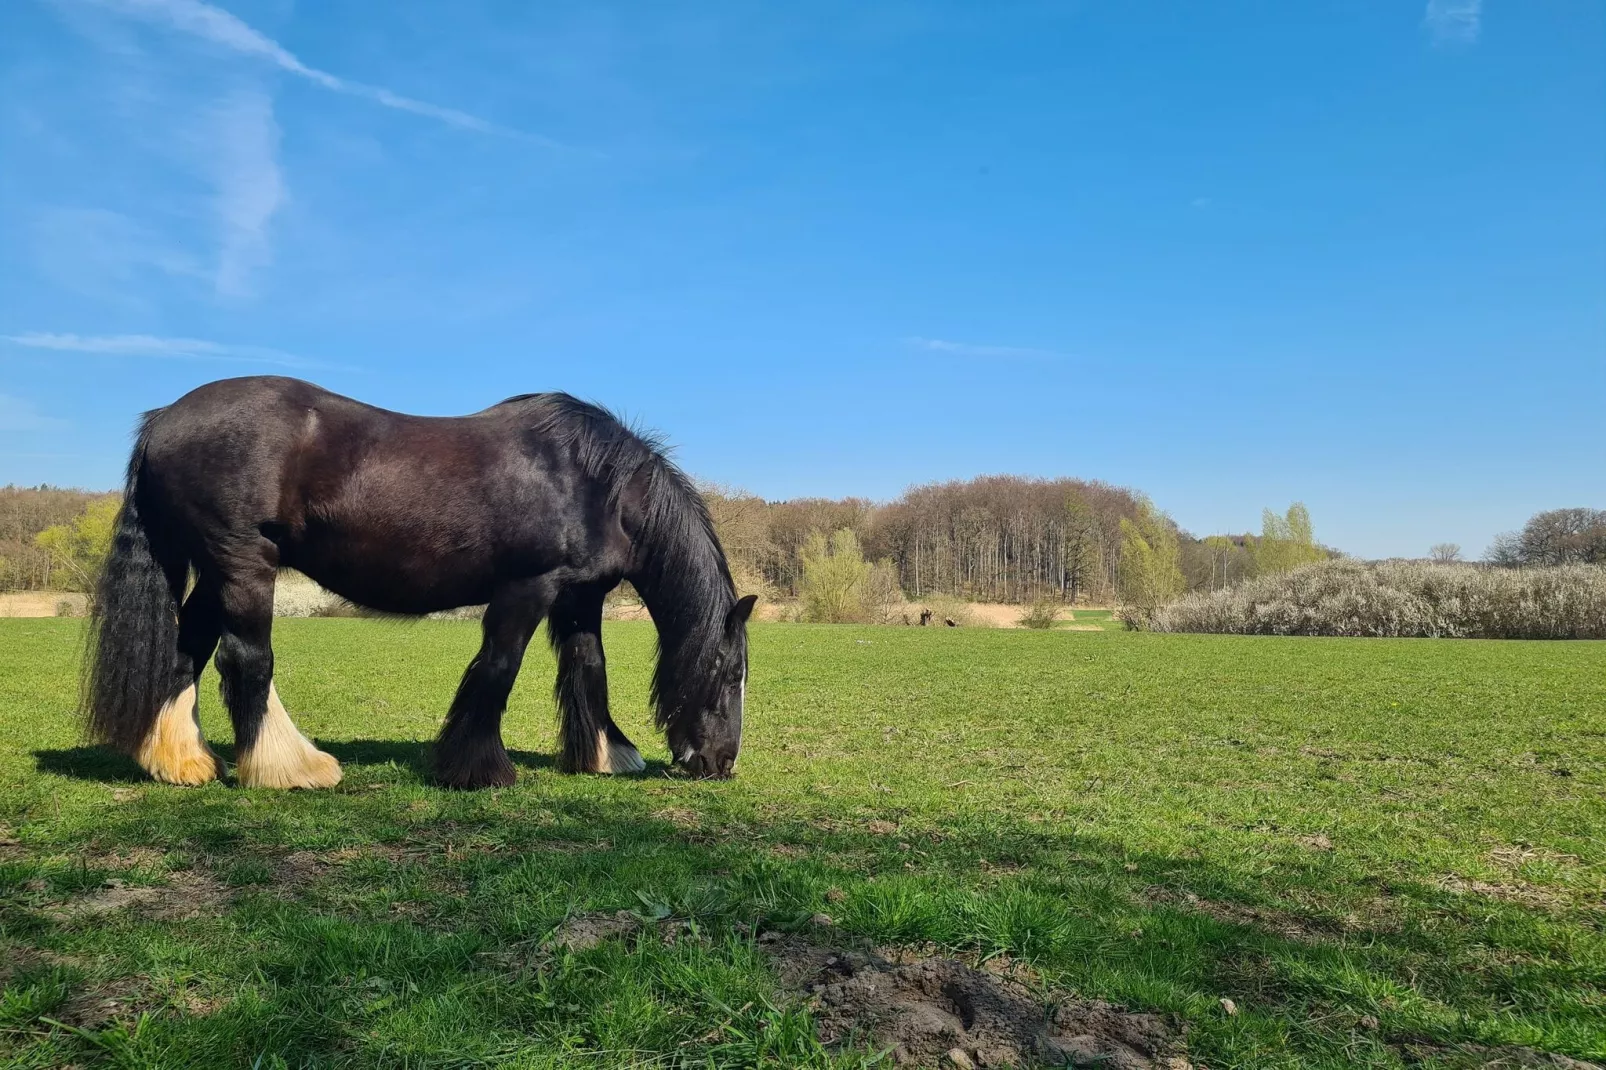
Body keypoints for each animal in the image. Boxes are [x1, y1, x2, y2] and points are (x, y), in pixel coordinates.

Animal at [86, 372, 758, 784]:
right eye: (730, 675)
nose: (720, 761)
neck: (594, 482)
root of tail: (163, 421)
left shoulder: (578, 596)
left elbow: (588, 668)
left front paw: (606, 756)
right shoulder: (529, 586)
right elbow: (500, 666)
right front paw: (477, 769)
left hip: (214, 570)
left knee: (187, 650)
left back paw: (182, 762)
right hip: (245, 561)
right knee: (245, 658)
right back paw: (291, 768)